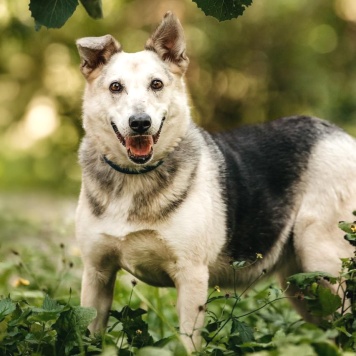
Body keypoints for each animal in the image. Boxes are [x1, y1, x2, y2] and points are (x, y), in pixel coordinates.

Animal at [75, 11, 356, 354]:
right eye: (115, 87)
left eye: (157, 84)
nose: (140, 123)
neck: (134, 177)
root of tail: (340, 134)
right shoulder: (97, 274)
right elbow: (88, 333)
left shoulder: (192, 276)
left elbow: (188, 342)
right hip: (305, 285)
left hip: (322, 260)